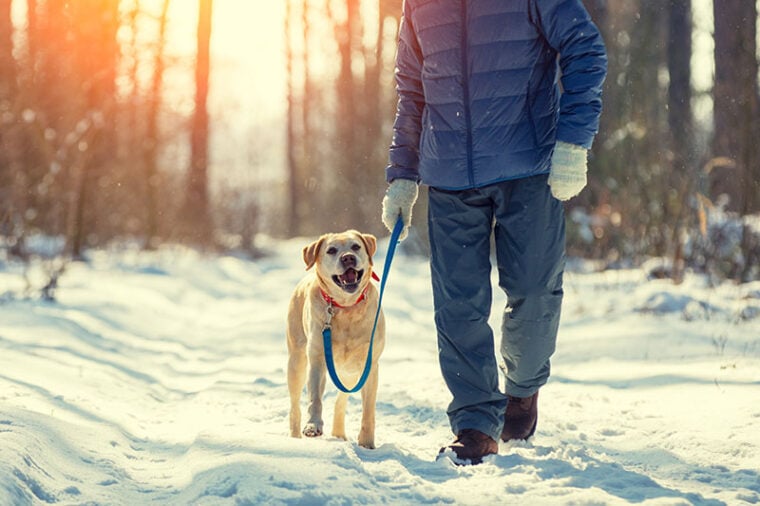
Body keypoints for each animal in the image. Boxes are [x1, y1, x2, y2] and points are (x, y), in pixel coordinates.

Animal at [290, 231, 386, 448]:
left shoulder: (370, 365)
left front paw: (367, 443)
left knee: (341, 400)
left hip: (350, 373)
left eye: (356, 246)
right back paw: (295, 435)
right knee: (294, 405)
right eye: (331, 250)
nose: (348, 258)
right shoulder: (317, 359)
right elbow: (315, 399)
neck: (346, 307)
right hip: (297, 361)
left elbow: (368, 409)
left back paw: (339, 432)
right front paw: (313, 426)